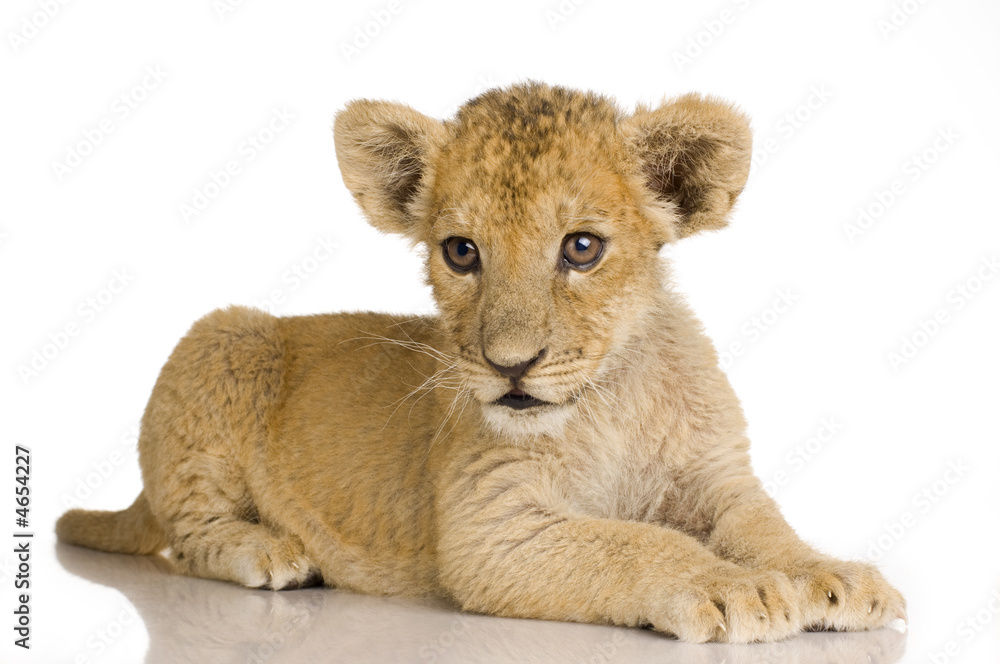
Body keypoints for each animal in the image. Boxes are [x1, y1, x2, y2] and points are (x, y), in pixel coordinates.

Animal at [57, 82, 905, 643]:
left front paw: (832, 576)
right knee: (191, 529)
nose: (510, 367)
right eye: (461, 252)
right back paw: (268, 549)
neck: (609, 401)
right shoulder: (489, 527)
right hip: (224, 335)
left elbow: (766, 526)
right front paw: (728, 584)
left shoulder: (717, 477)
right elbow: (636, 542)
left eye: (582, 248)